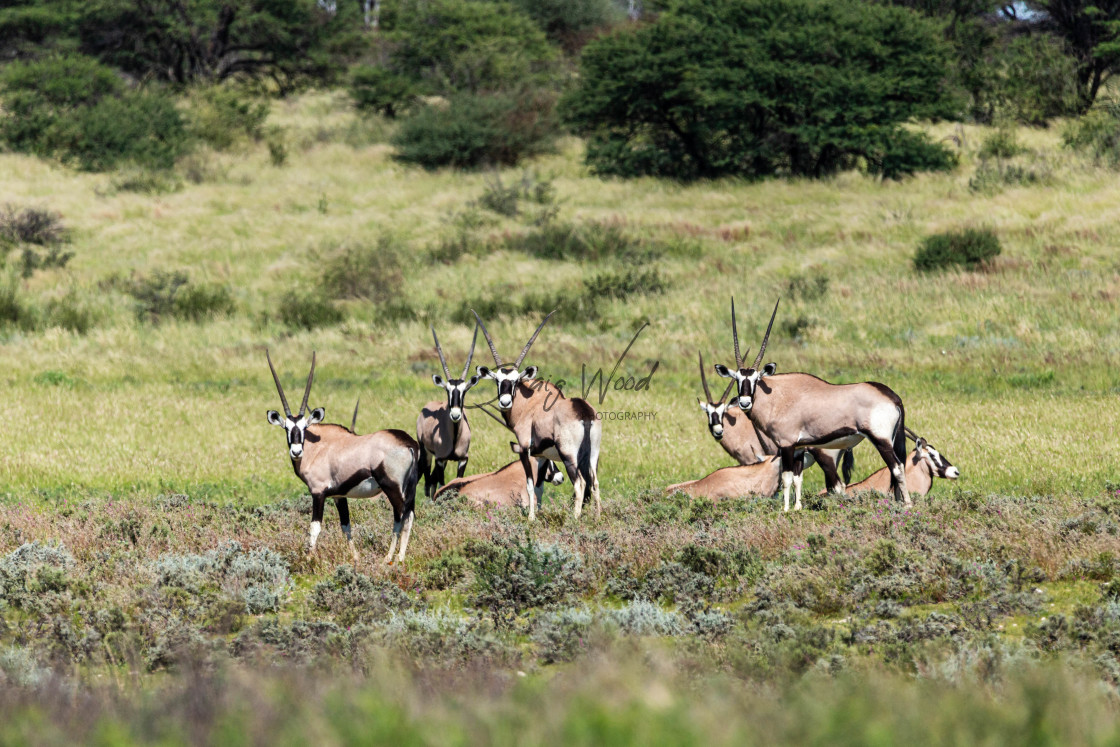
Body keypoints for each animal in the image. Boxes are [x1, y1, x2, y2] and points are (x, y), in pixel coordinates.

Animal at [264, 353, 421, 564]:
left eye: (304, 428)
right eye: (287, 429)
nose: (296, 452)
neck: (318, 446)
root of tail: (408, 443)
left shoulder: (318, 493)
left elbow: (315, 527)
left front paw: (308, 559)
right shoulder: (339, 496)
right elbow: (346, 525)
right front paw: (355, 558)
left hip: (392, 487)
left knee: (402, 516)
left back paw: (395, 558)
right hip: (407, 489)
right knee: (405, 516)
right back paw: (393, 557)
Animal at [416, 324, 477, 497]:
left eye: (464, 391)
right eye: (447, 390)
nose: (455, 415)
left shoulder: (463, 460)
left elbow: (456, 482)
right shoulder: (440, 459)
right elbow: (442, 484)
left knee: (431, 481)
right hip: (427, 453)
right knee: (428, 481)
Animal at [470, 309, 600, 519]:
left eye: (516, 381)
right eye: (497, 380)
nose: (505, 402)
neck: (529, 403)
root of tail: (583, 412)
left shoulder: (525, 449)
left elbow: (530, 486)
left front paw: (531, 518)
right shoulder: (541, 455)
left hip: (569, 455)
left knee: (580, 483)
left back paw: (574, 519)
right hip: (593, 455)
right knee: (594, 482)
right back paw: (597, 517)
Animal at [694, 351, 851, 490]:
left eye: (723, 412)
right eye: (708, 413)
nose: (718, 432)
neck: (739, 426)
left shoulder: (751, 460)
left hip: (825, 459)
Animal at [716, 300, 909, 510]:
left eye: (755, 379)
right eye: (737, 379)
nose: (744, 402)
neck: (777, 396)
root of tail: (892, 396)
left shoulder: (787, 445)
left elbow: (786, 477)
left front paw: (785, 510)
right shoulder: (799, 448)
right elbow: (798, 479)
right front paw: (797, 508)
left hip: (880, 439)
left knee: (897, 467)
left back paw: (907, 505)